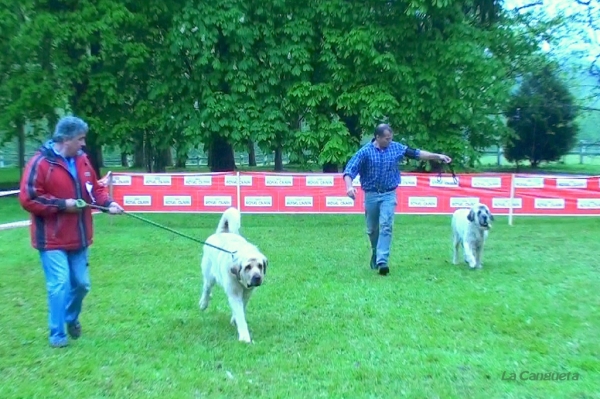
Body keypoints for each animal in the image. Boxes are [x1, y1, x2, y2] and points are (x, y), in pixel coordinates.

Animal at [199, 208, 268, 342]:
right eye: (248, 267)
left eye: (260, 266)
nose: (257, 277)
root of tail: (221, 232)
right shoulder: (234, 294)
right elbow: (240, 314)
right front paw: (245, 337)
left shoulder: (247, 294)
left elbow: (242, 308)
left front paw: (234, 320)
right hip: (209, 275)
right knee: (206, 288)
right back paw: (203, 303)